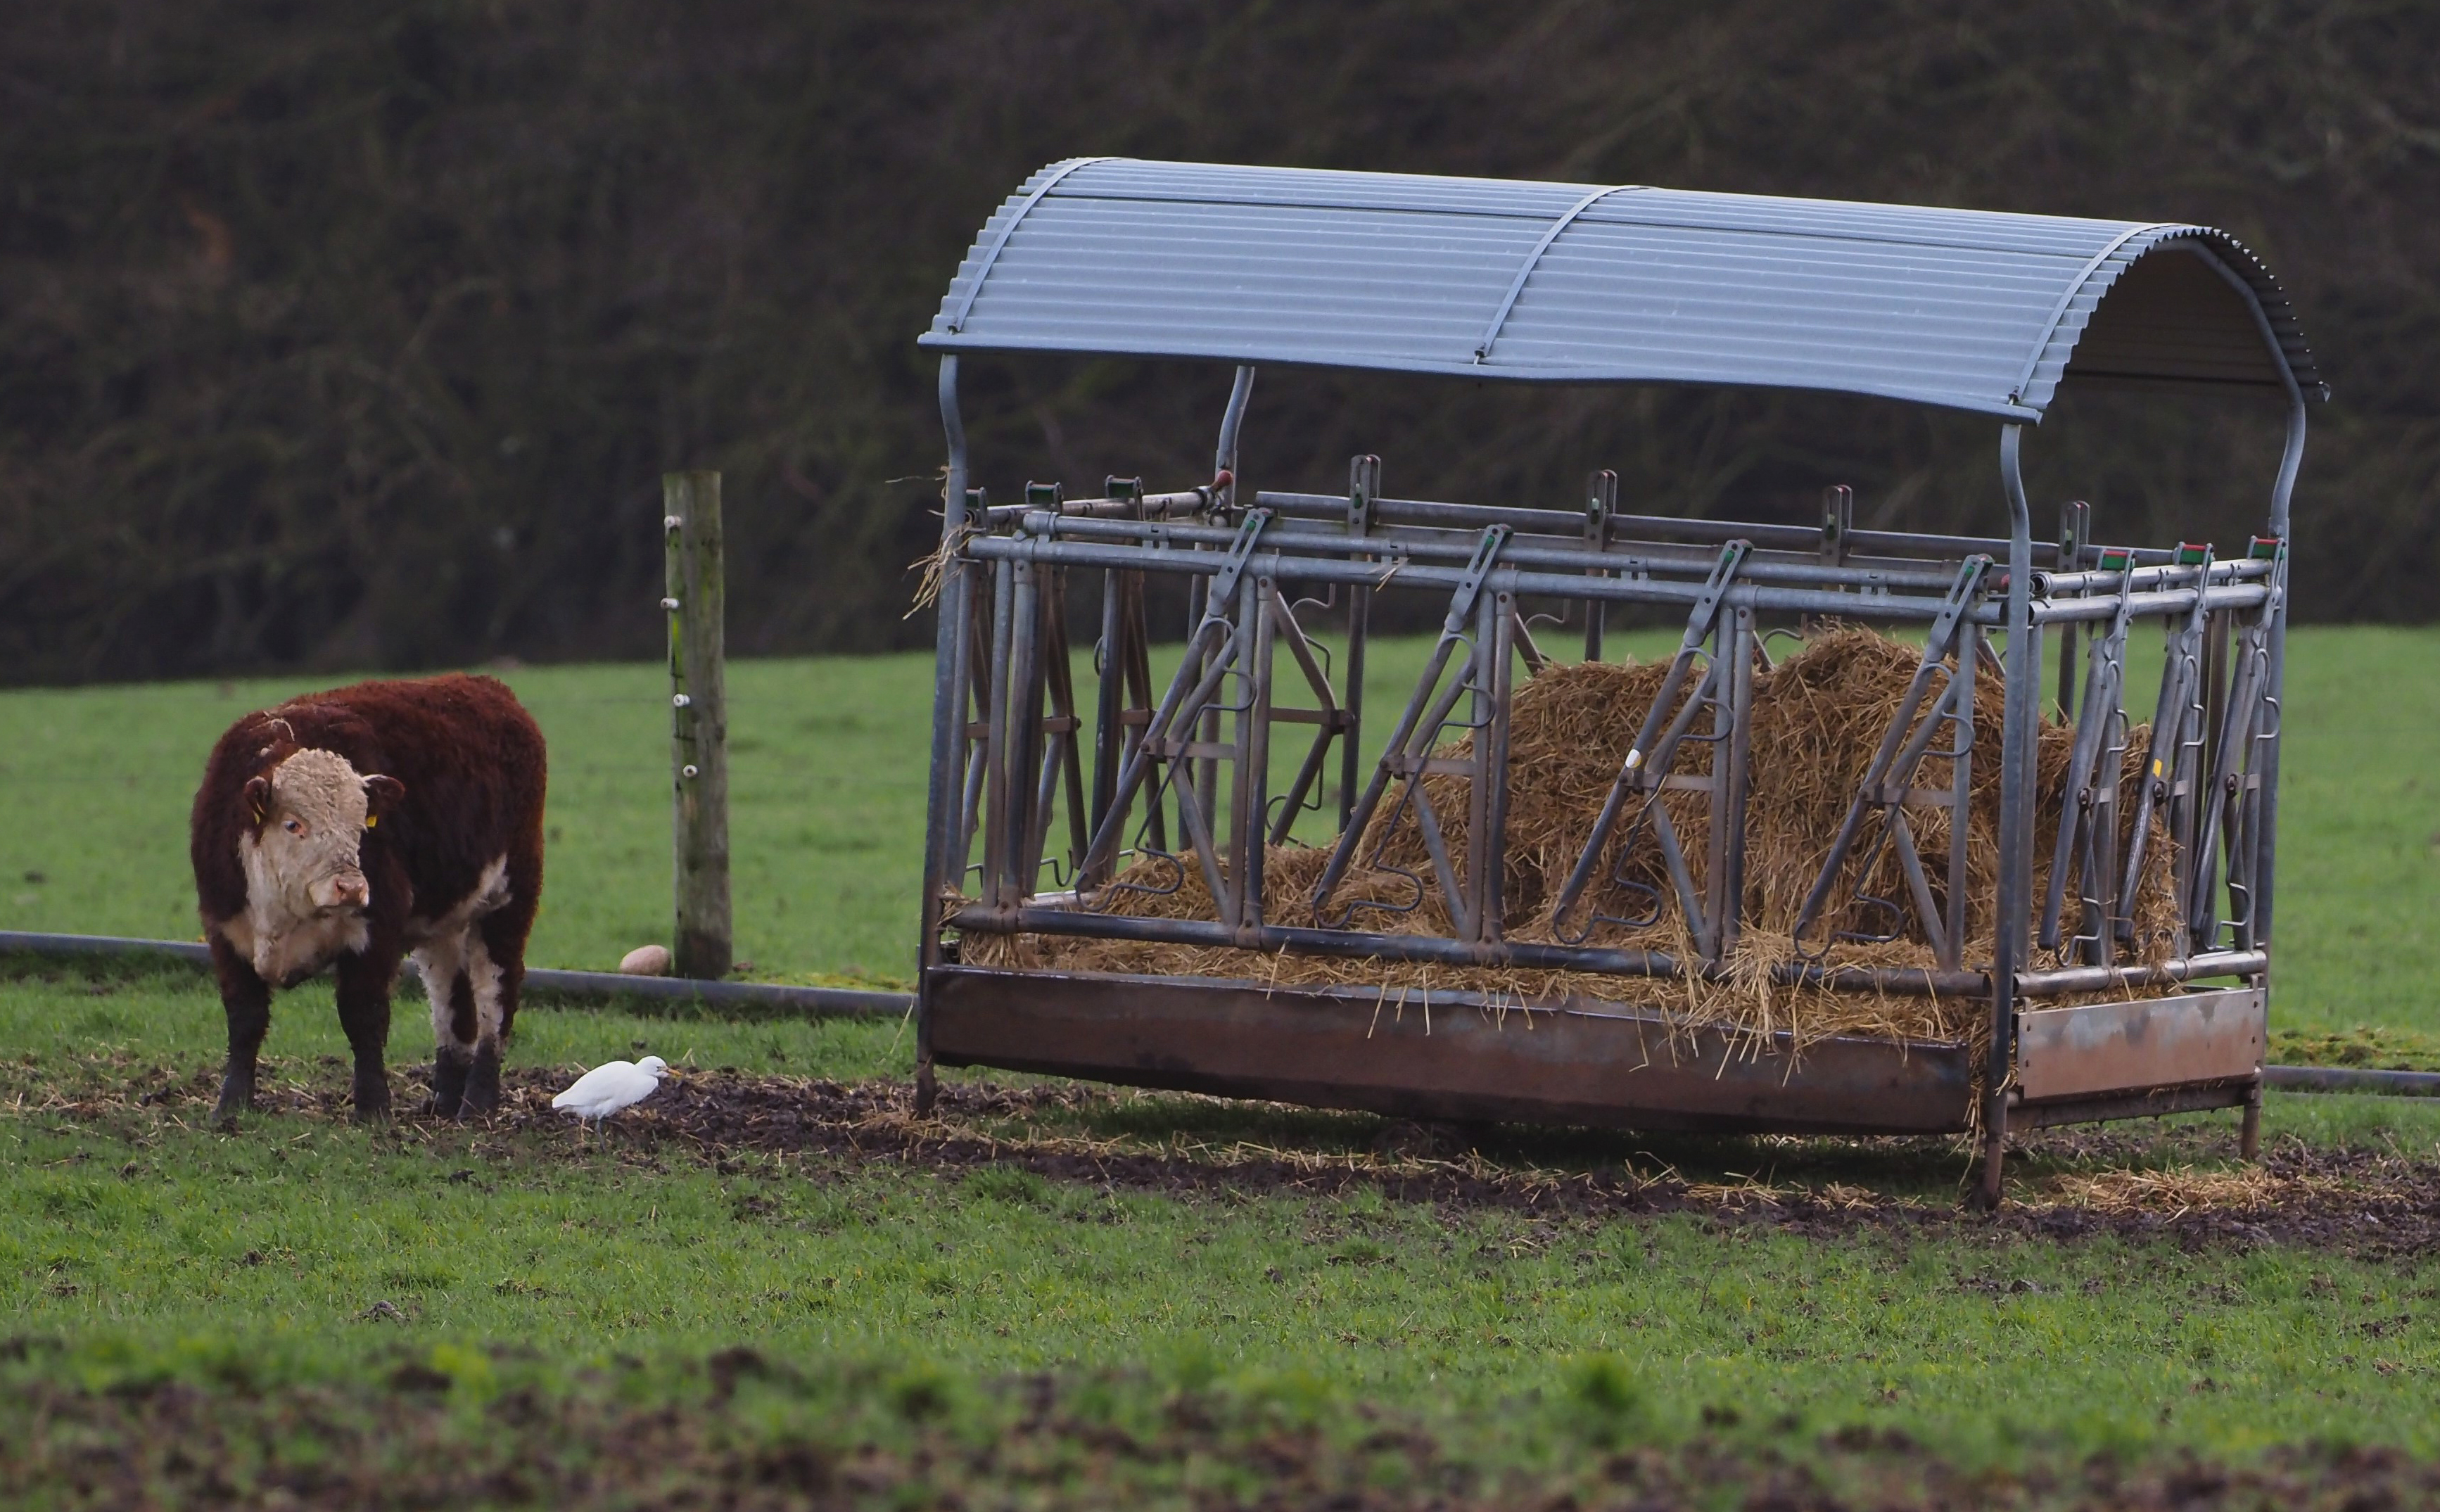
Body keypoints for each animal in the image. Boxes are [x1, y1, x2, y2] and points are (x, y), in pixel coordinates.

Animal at [191, 673, 554, 1122]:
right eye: (294, 824)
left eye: (361, 826)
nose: (352, 886)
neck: (280, 917)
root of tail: (486, 685)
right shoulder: (224, 932)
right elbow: (245, 1019)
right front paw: (231, 1105)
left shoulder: (376, 930)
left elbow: (363, 1016)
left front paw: (372, 1107)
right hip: (442, 923)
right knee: (450, 1000)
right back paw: (443, 1101)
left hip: (508, 900)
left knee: (495, 997)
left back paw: (477, 1103)